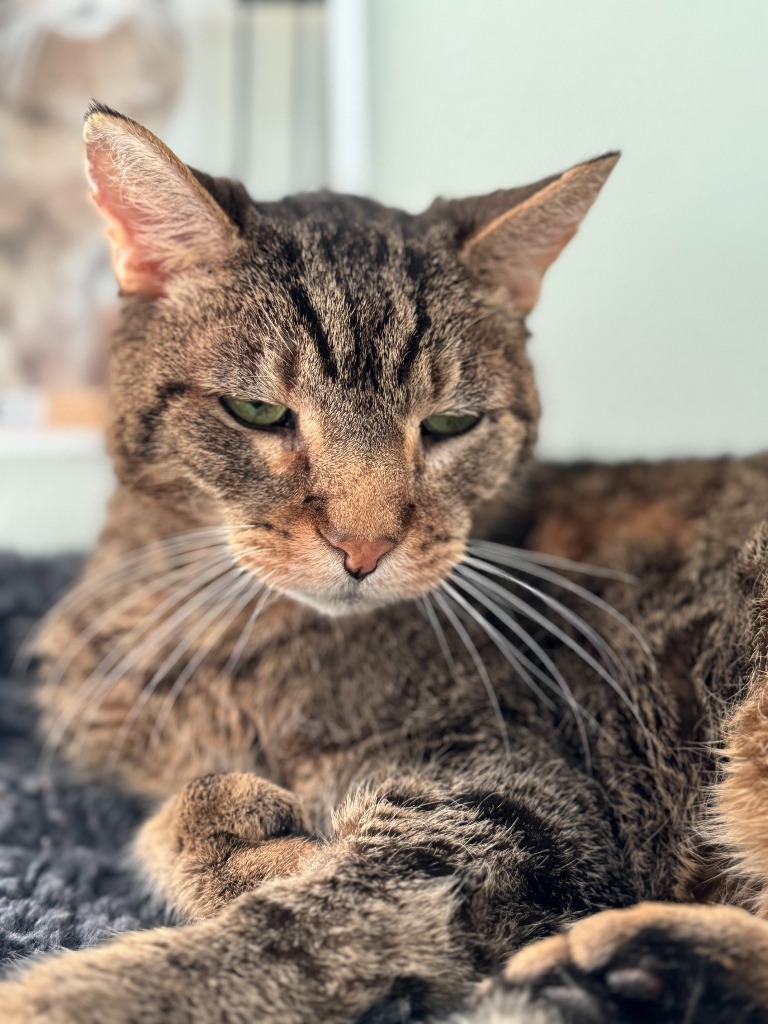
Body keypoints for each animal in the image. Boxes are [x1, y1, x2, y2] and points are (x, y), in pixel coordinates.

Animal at [1, 97, 768, 1024]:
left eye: (449, 424)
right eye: (258, 411)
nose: (363, 547)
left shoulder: (517, 797)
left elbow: (309, 927)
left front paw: (79, 993)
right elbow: (184, 815)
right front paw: (249, 832)